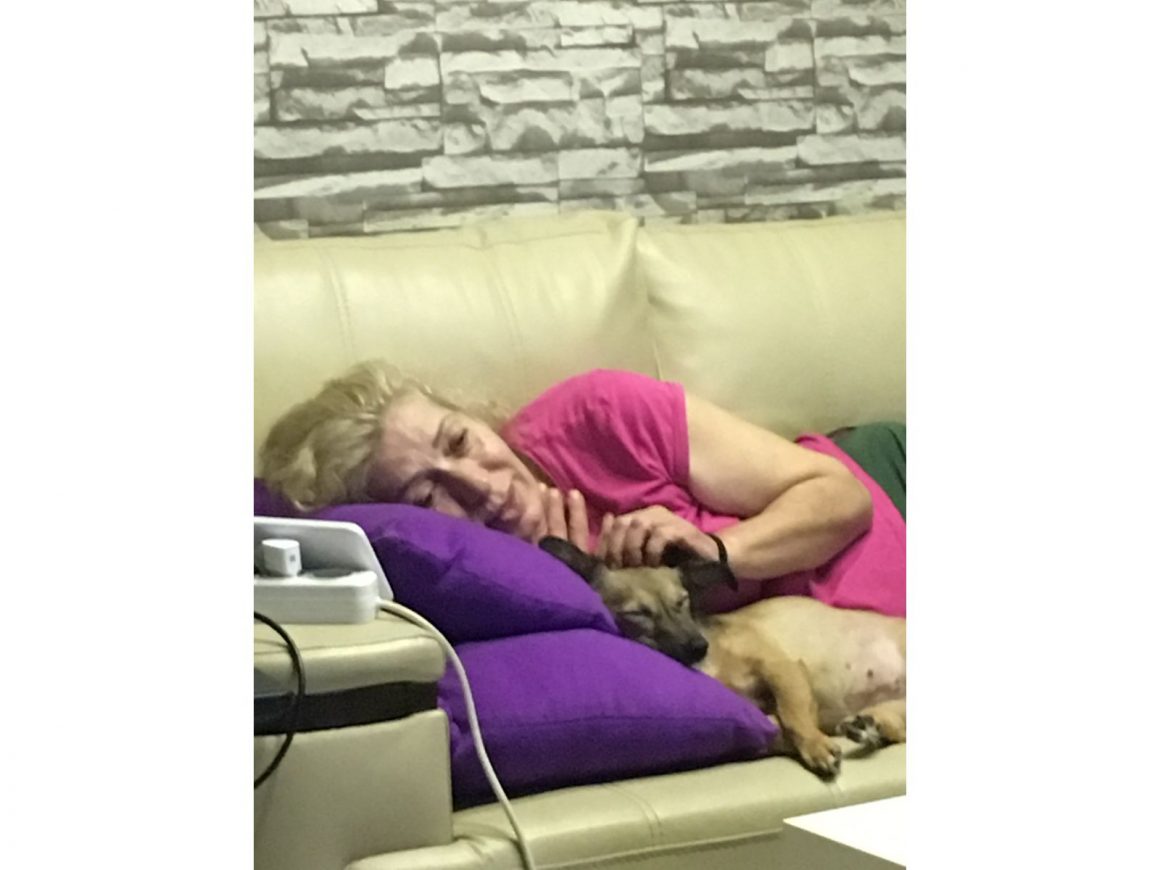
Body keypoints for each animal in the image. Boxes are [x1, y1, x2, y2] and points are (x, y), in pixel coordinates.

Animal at [540, 537, 905, 778]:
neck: (711, 665)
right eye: (638, 614)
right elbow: (776, 724)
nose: (697, 645)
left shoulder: (782, 669)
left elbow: (793, 713)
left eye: (683, 601)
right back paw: (867, 726)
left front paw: (814, 744)